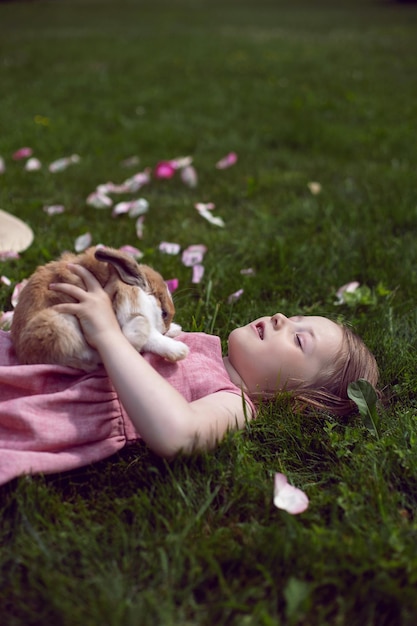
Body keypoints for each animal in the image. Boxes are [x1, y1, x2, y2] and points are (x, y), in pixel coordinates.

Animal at [9, 245, 188, 370]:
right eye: (164, 313)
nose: (166, 329)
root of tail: (25, 356)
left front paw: (175, 329)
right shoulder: (126, 308)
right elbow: (152, 337)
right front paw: (179, 350)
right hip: (60, 325)